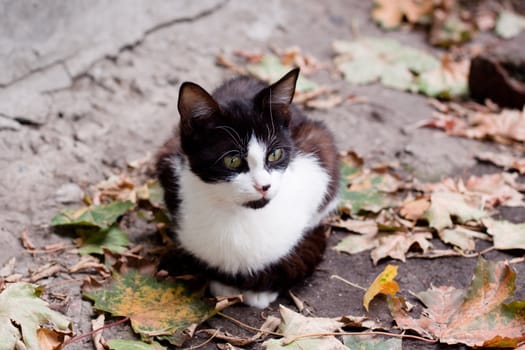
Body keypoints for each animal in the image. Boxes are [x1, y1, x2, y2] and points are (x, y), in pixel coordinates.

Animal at [154, 69, 338, 308]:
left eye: (275, 154)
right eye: (232, 160)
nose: (264, 186)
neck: (240, 216)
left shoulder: (316, 166)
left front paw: (260, 290)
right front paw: (225, 284)